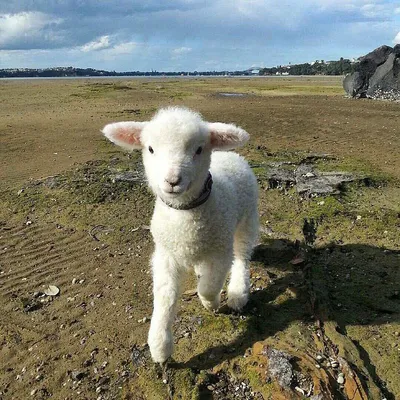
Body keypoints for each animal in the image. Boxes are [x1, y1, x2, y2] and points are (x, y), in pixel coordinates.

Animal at [103, 108, 258, 364]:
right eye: (150, 149)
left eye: (198, 149)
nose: (172, 181)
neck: (185, 215)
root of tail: (232, 156)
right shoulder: (165, 255)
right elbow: (165, 296)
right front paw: (160, 345)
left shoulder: (220, 250)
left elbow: (209, 286)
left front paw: (211, 303)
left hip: (247, 219)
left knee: (242, 256)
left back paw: (238, 292)